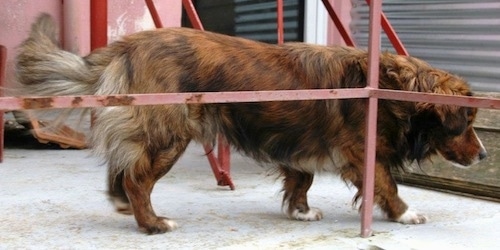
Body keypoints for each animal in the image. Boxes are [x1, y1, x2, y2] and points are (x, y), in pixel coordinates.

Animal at [16, 13, 488, 232]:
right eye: (466, 121)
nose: (485, 155)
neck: (391, 89)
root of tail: (127, 45)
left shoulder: (301, 145)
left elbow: (301, 179)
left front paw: (300, 211)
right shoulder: (360, 151)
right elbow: (385, 184)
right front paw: (406, 215)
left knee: (122, 167)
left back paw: (122, 205)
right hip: (170, 134)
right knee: (137, 178)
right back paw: (151, 223)